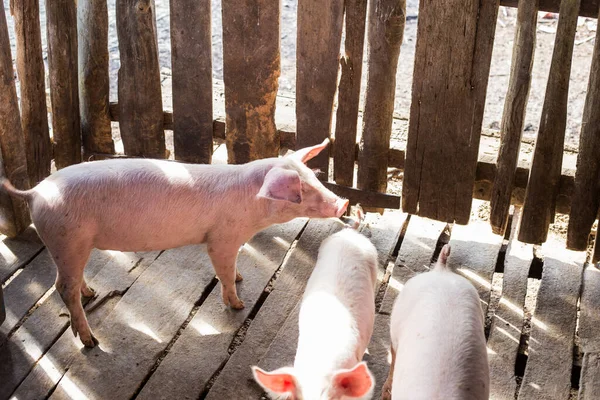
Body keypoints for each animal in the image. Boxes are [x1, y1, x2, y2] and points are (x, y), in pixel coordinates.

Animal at [1, 140, 346, 346]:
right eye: (299, 191)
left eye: (313, 177)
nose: (342, 203)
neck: (253, 207)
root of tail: (35, 192)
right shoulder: (221, 238)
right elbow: (222, 269)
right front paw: (238, 303)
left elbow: (233, 267)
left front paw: (240, 277)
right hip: (66, 239)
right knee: (62, 287)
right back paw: (90, 341)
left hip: (72, 246)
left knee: (71, 282)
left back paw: (92, 293)